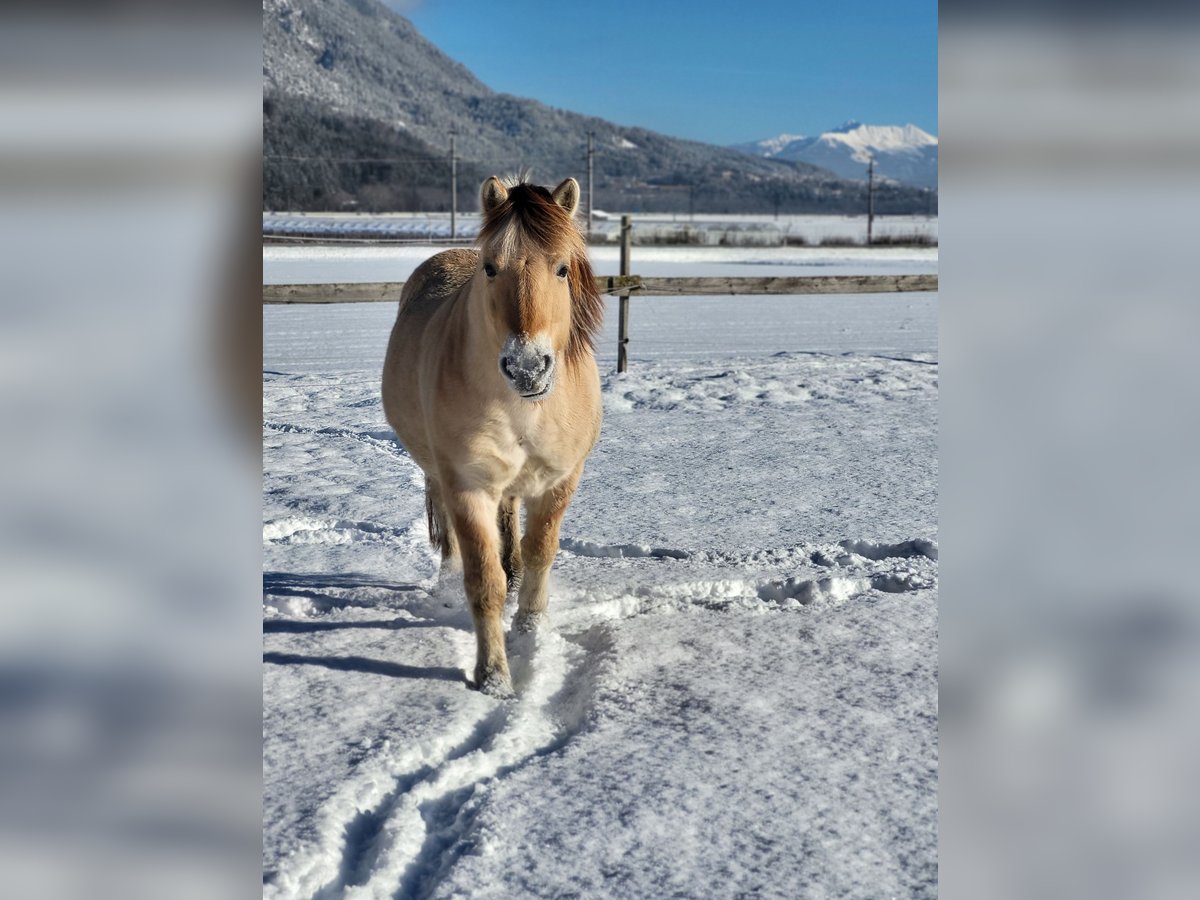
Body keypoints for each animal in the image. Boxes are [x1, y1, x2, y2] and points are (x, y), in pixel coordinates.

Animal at [381, 176, 604, 696]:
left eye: (562, 268)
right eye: (489, 268)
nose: (526, 367)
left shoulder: (560, 481)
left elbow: (541, 552)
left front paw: (530, 626)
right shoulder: (468, 487)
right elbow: (484, 581)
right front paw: (494, 677)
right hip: (439, 474)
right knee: (450, 535)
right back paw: (448, 581)